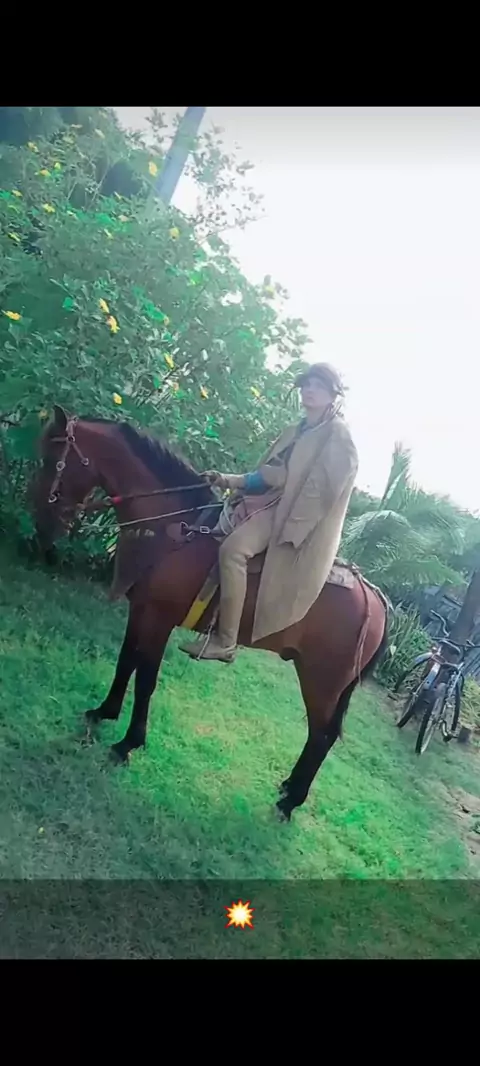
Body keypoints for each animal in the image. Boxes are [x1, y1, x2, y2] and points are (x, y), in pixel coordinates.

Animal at [31, 406, 389, 821]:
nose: (41, 515)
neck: (173, 528)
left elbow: (146, 679)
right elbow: (126, 663)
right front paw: (103, 712)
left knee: (322, 734)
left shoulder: (159, 619)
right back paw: (289, 789)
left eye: (51, 458)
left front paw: (127, 744)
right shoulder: (141, 610)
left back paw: (290, 802)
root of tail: (374, 599)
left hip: (321, 681)